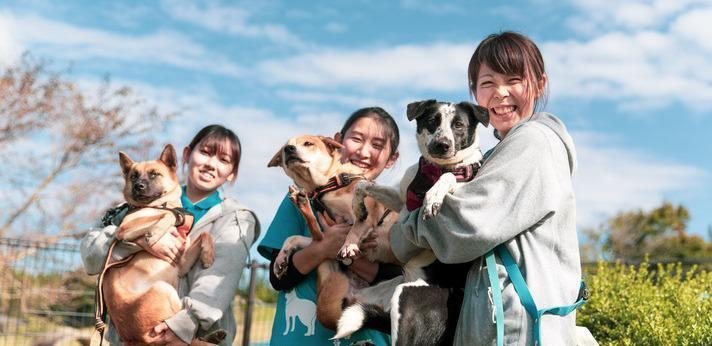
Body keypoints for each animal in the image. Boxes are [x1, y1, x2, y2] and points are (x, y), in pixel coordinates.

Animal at [334, 98, 490, 344]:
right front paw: (357, 213)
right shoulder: (400, 200)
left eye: (459, 125)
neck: (433, 170)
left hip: (409, 297)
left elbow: (451, 176)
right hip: (370, 295)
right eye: (432, 121)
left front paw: (433, 196)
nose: (442, 145)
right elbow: (363, 184)